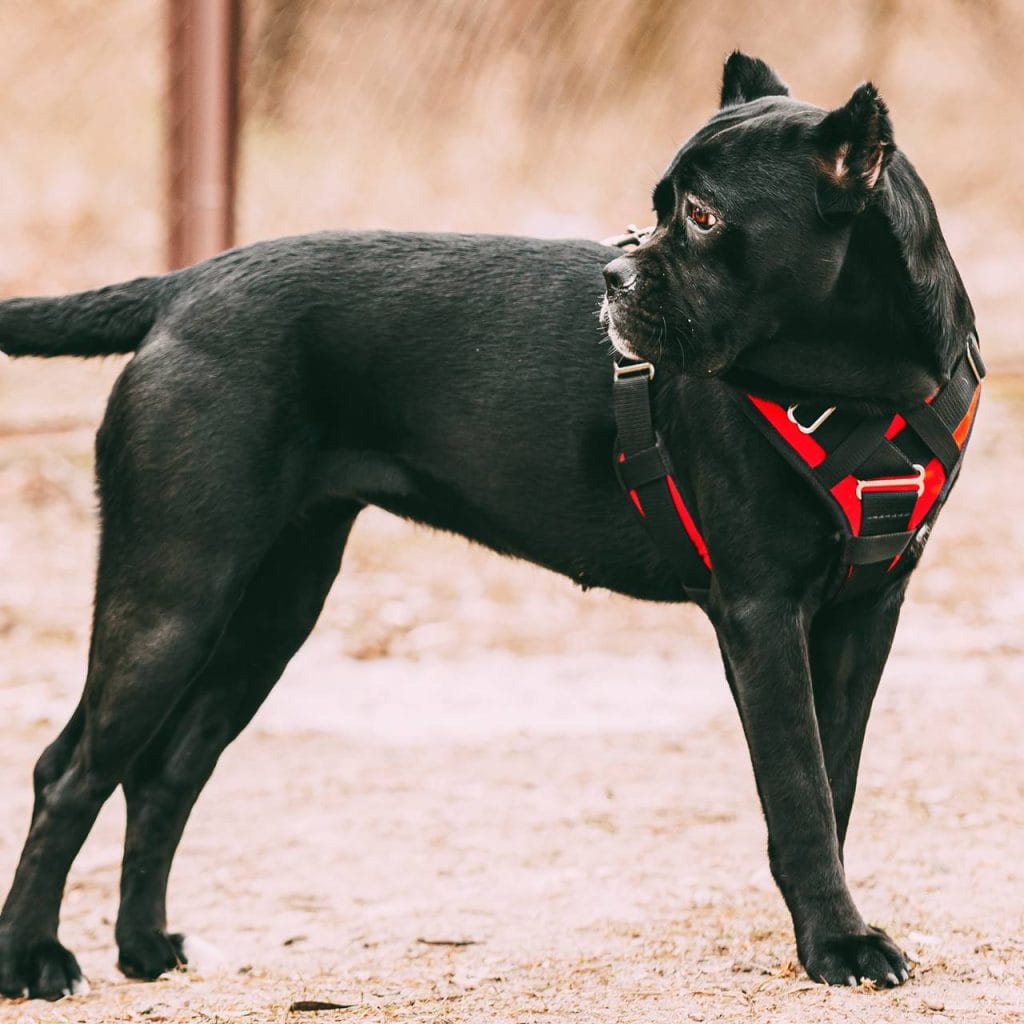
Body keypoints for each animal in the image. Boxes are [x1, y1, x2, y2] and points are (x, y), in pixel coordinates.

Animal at [0, 51, 978, 995]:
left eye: (701, 216)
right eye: (667, 209)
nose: (613, 275)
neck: (867, 386)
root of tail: (188, 285)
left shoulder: (865, 614)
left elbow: (832, 782)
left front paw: (825, 934)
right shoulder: (761, 613)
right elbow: (799, 792)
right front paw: (840, 943)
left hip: (268, 610)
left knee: (165, 772)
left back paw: (145, 947)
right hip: (173, 594)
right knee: (69, 772)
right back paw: (32, 961)